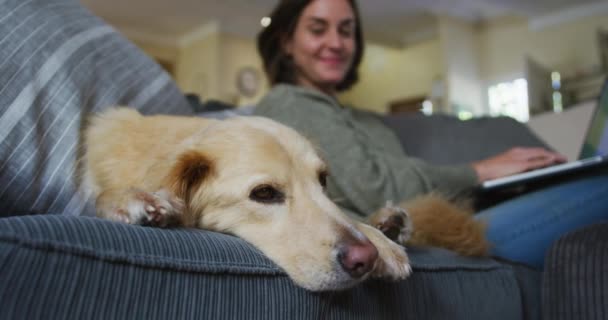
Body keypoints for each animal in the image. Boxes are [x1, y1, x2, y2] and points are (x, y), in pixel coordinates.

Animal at [82, 108, 490, 292]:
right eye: (264, 194)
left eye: (323, 181)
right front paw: (133, 199)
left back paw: (389, 222)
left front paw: (380, 239)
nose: (365, 258)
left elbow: (345, 214)